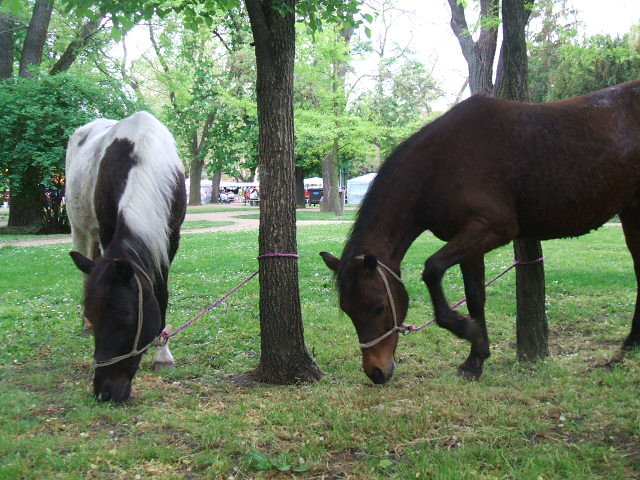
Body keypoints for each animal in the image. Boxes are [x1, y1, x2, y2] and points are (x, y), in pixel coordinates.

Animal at [67, 112, 188, 402]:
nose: (104, 392)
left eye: (123, 320)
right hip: (79, 228)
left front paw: (163, 354)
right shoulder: (108, 229)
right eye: (96, 316)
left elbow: (161, 292)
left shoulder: (171, 237)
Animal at [322, 80, 640, 384]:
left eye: (378, 307)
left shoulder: (492, 228)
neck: (441, 162)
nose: (375, 372)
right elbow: (475, 296)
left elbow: (432, 269)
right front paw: (476, 358)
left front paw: (465, 329)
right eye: (348, 311)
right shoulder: (469, 242)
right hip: (631, 213)